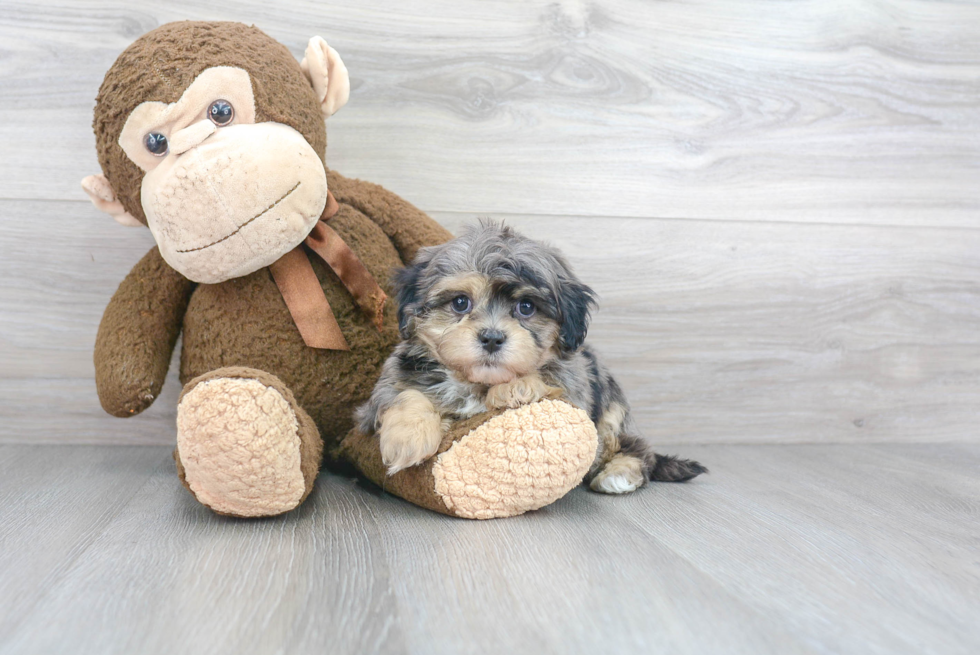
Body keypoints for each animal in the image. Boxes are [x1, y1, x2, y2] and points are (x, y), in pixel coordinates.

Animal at [358, 223, 704, 494]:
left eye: (526, 307)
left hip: (611, 412)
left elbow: (548, 376)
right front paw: (407, 437)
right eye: (460, 302)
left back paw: (618, 475)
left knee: (635, 448)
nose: (492, 338)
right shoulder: (387, 386)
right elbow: (404, 394)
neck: (477, 383)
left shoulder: (576, 387)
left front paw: (514, 388)